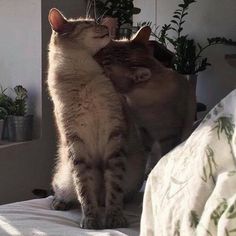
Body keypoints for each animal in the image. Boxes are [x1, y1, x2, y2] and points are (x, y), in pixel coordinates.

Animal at [47, 8, 147, 229]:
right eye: (88, 23)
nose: (106, 27)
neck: (82, 78)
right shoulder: (75, 142)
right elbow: (84, 189)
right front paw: (91, 220)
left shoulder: (114, 135)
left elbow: (114, 188)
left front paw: (114, 218)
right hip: (64, 179)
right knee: (64, 192)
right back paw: (59, 203)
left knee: (115, 195)